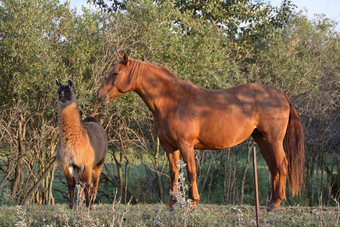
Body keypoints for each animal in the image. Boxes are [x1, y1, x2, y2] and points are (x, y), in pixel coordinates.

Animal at [96, 53, 306, 211]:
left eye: (115, 73)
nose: (99, 94)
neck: (172, 101)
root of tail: (281, 95)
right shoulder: (169, 146)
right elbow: (174, 173)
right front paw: (171, 204)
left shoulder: (186, 145)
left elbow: (191, 172)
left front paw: (192, 203)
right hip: (262, 140)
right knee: (273, 167)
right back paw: (271, 202)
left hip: (273, 140)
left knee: (282, 164)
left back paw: (276, 203)